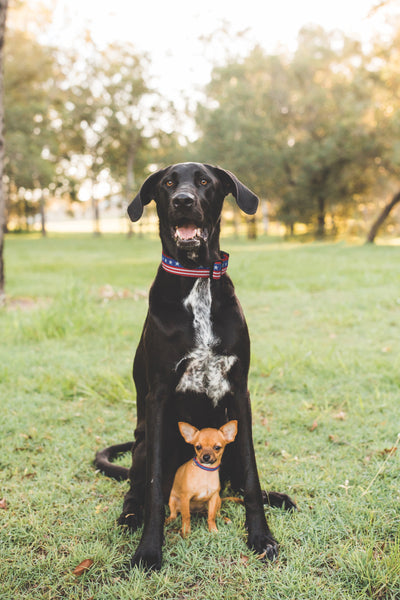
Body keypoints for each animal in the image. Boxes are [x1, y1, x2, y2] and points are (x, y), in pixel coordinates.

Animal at [94, 162, 294, 568]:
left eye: (204, 181)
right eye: (168, 184)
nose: (183, 201)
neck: (198, 279)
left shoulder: (240, 392)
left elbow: (252, 477)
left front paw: (261, 536)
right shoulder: (158, 396)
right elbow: (156, 487)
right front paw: (149, 550)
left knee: (239, 482)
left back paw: (277, 498)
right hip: (142, 445)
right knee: (136, 488)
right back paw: (130, 516)